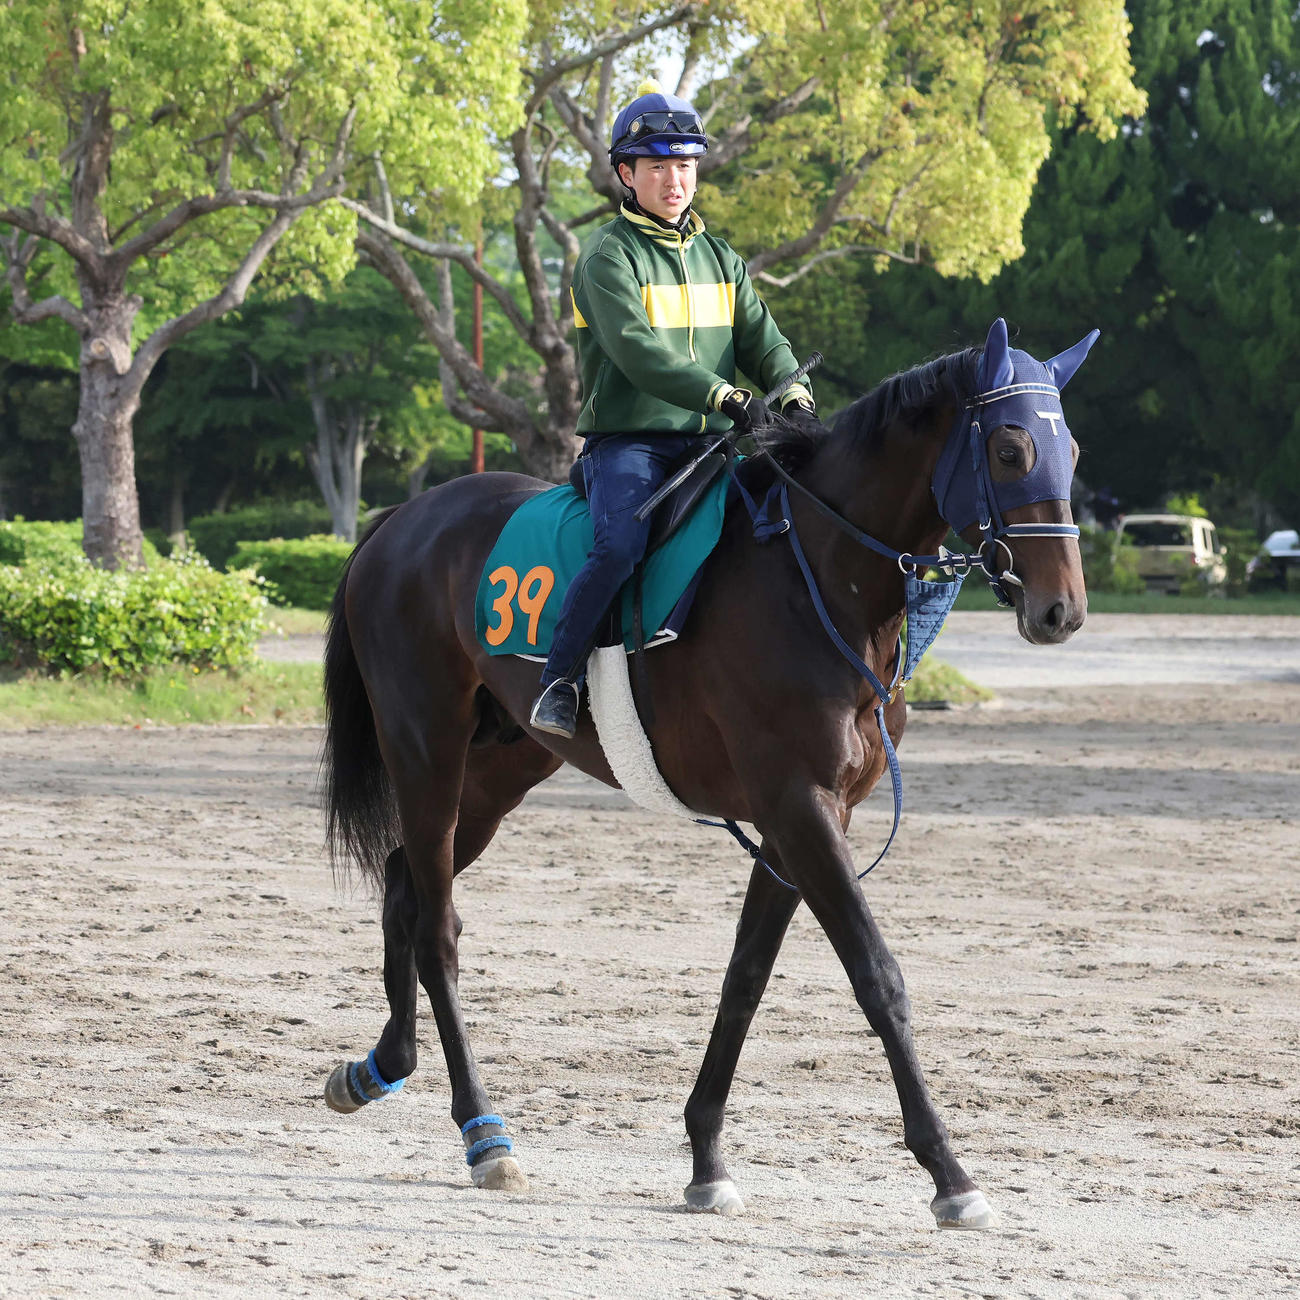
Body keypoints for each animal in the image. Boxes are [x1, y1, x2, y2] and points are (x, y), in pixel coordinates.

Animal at [319, 317, 1096, 1229]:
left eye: (1070, 450)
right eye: (1011, 449)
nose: (1061, 610)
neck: (817, 577)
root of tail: (402, 518)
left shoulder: (805, 821)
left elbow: (745, 980)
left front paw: (706, 1156)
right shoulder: (798, 808)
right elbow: (878, 978)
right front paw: (950, 1173)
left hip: (500, 770)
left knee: (405, 882)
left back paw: (380, 1064)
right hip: (427, 750)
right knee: (437, 926)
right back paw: (484, 1134)